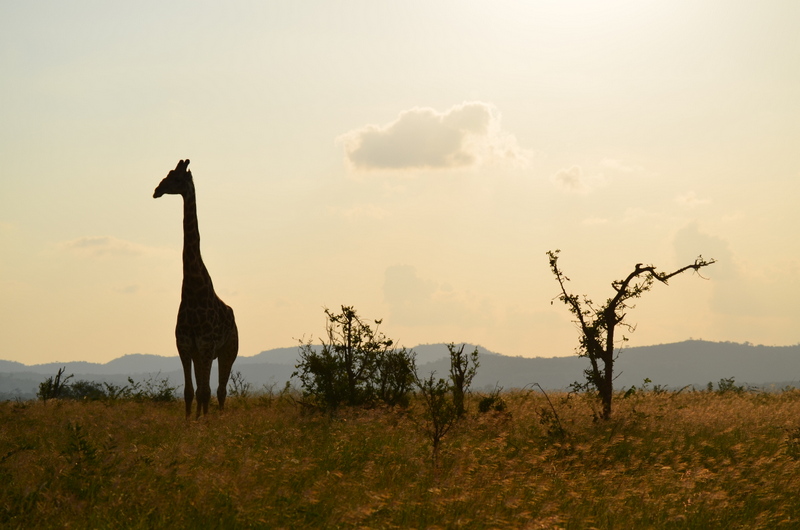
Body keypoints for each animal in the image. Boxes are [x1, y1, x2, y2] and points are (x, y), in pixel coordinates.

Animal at [152, 158, 236, 416]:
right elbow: (190, 392)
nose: (156, 190)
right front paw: (191, 422)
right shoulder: (186, 346)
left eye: (177, 178)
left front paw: (205, 424)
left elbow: (206, 392)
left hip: (229, 350)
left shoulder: (208, 346)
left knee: (220, 391)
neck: (192, 290)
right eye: (167, 174)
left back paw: (218, 418)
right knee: (203, 390)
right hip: (201, 354)